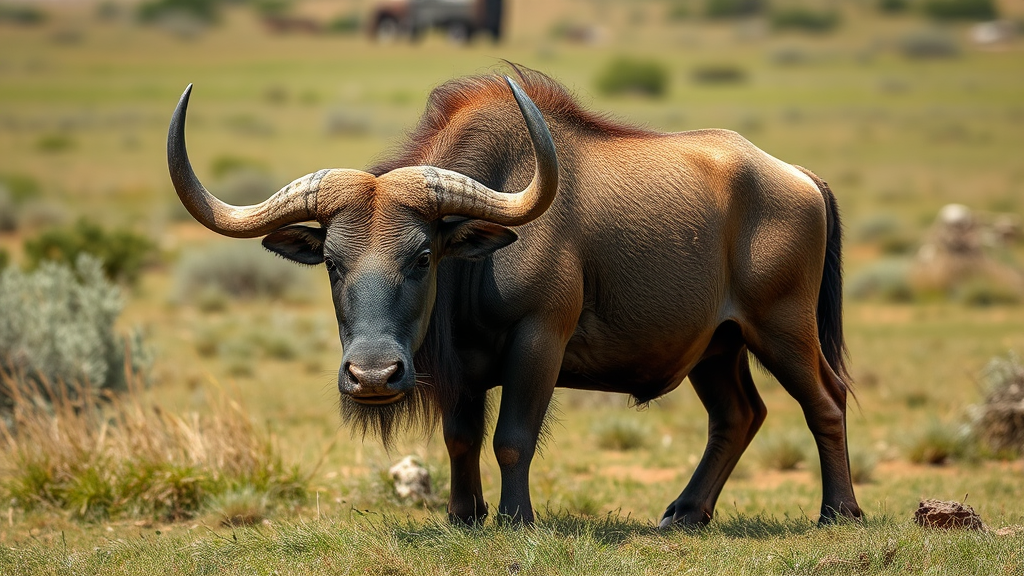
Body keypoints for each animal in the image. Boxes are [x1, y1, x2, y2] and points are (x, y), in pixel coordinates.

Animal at [169, 66, 864, 524]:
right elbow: (460, 437)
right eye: (333, 264)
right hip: (717, 347)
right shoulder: (461, 370)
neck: (473, 266)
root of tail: (798, 177)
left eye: (422, 257)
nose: (372, 376)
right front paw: (463, 515)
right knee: (738, 415)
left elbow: (512, 436)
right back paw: (686, 512)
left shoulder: (538, 344)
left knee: (825, 402)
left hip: (781, 329)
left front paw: (513, 518)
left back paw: (839, 512)